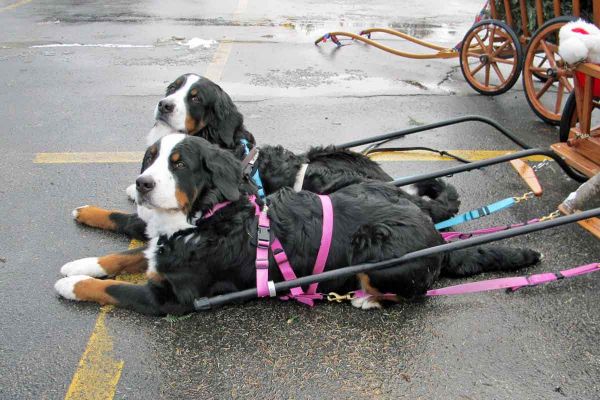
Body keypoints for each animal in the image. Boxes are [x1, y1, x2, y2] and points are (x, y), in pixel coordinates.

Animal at [55, 135, 540, 316]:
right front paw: (82, 258)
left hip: (377, 250)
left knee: (410, 294)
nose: (143, 183)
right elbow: (126, 252)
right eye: (150, 158)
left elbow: (114, 289)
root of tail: (434, 233)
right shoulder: (163, 250)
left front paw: (72, 285)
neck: (206, 217)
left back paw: (365, 297)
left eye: (179, 164)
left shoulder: (173, 298)